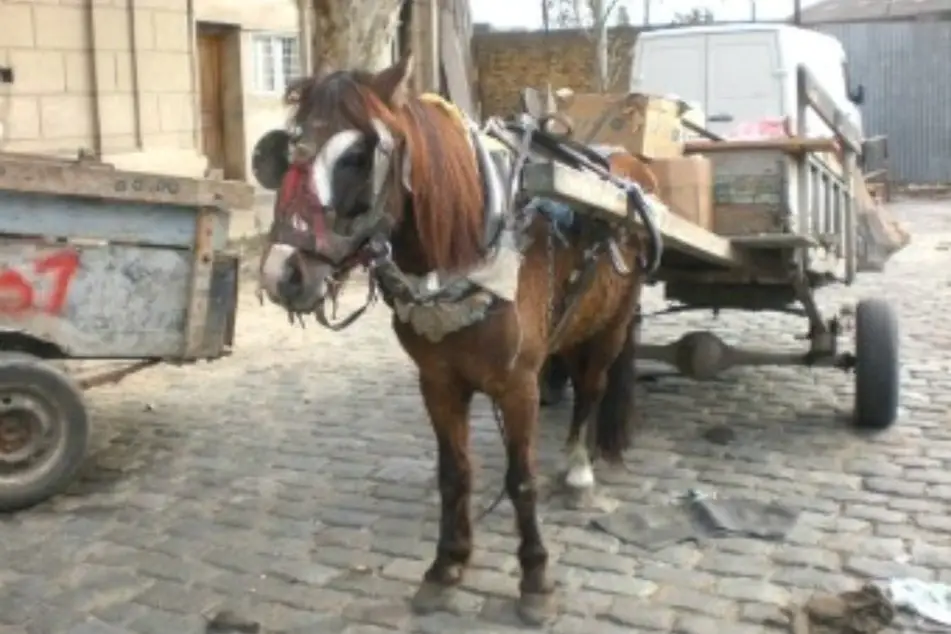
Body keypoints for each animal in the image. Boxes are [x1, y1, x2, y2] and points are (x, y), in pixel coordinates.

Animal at [256, 53, 660, 624]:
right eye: (283, 149)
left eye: (357, 155)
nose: (282, 273)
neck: (470, 250)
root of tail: (628, 165)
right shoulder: (438, 382)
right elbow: (455, 472)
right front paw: (447, 565)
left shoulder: (517, 385)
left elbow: (520, 478)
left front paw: (534, 579)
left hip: (613, 324)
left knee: (592, 388)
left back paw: (578, 470)